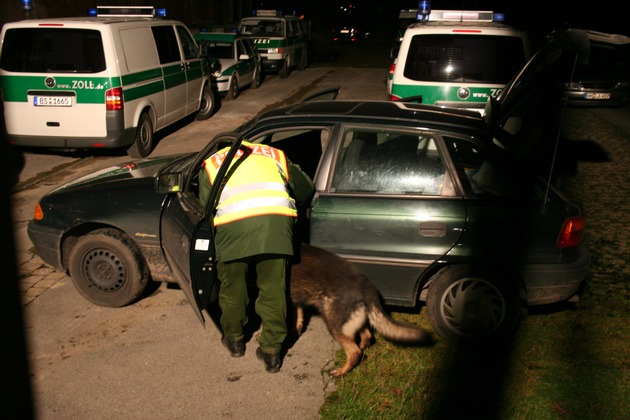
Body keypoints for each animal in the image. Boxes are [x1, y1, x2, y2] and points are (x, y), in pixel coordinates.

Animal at [288, 243, 432, 378]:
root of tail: (366, 284)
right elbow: (298, 317)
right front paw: (297, 330)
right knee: (367, 336)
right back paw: (362, 350)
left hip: (334, 324)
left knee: (354, 352)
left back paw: (341, 372)